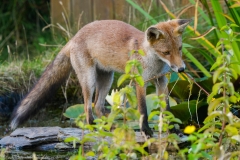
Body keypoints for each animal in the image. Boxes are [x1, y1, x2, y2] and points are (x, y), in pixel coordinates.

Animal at [10, 19, 190, 136]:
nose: (181, 68)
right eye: (166, 52)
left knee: (98, 106)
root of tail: (74, 36)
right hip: (89, 81)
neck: (154, 63)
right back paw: (93, 128)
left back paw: (110, 127)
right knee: (87, 108)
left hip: (107, 79)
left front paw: (172, 128)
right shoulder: (140, 82)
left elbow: (167, 108)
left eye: (180, 49)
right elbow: (143, 110)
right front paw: (146, 131)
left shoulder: (161, 80)